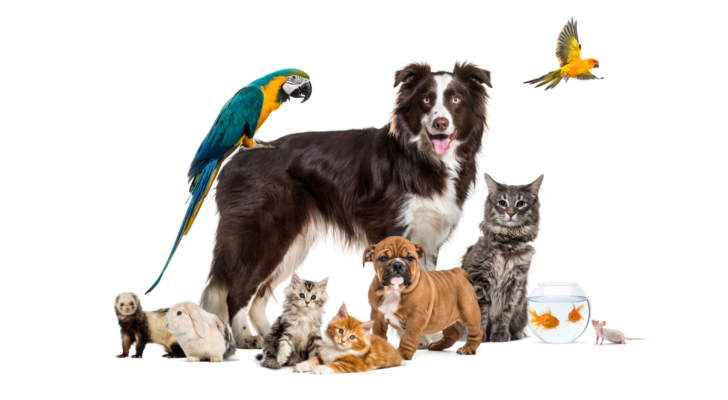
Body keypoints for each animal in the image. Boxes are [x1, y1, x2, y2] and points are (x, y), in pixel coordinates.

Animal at [202, 61, 492, 346]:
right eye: (426, 99)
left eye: (456, 99)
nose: (441, 123)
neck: (422, 158)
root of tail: (234, 161)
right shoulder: (395, 230)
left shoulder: (428, 238)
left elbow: (424, 287)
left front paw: (427, 336)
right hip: (265, 236)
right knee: (237, 291)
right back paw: (245, 337)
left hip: (293, 244)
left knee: (259, 296)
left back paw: (273, 337)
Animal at [460, 173, 540, 342]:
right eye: (502, 203)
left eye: (521, 203)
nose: (510, 213)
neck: (508, 243)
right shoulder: (479, 280)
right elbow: (480, 313)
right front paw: (480, 337)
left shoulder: (514, 285)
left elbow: (504, 314)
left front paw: (500, 334)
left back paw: (517, 334)